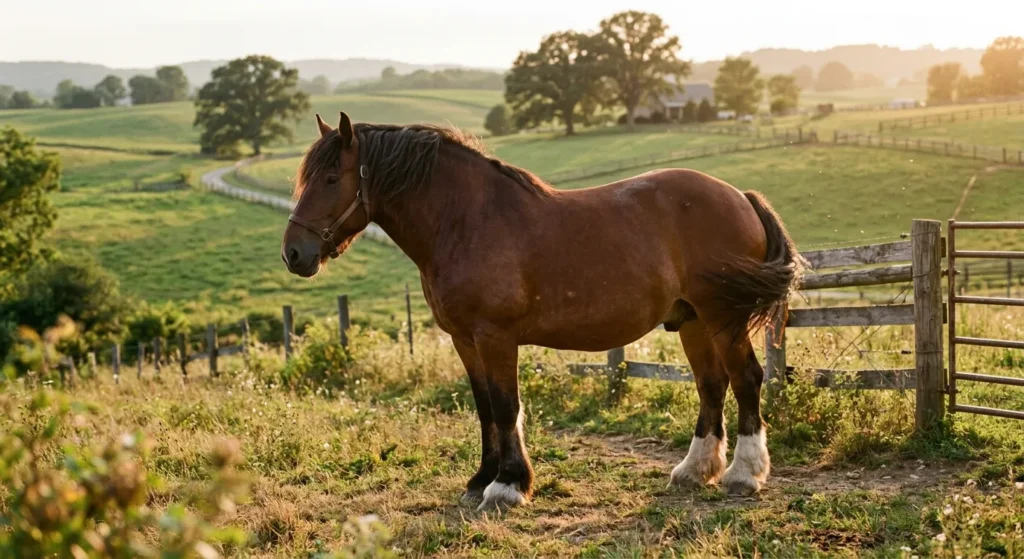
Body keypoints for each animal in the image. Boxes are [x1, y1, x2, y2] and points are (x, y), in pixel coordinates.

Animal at [281, 112, 804, 511]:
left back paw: (744, 475)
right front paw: (481, 480)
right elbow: (485, 408)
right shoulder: (464, 339)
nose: (293, 254)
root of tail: (741, 197)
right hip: (692, 320)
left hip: (723, 318)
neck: (467, 221)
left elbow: (506, 406)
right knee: (711, 385)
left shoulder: (494, 336)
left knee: (746, 379)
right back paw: (694, 471)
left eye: (331, 179)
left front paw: (507, 486)